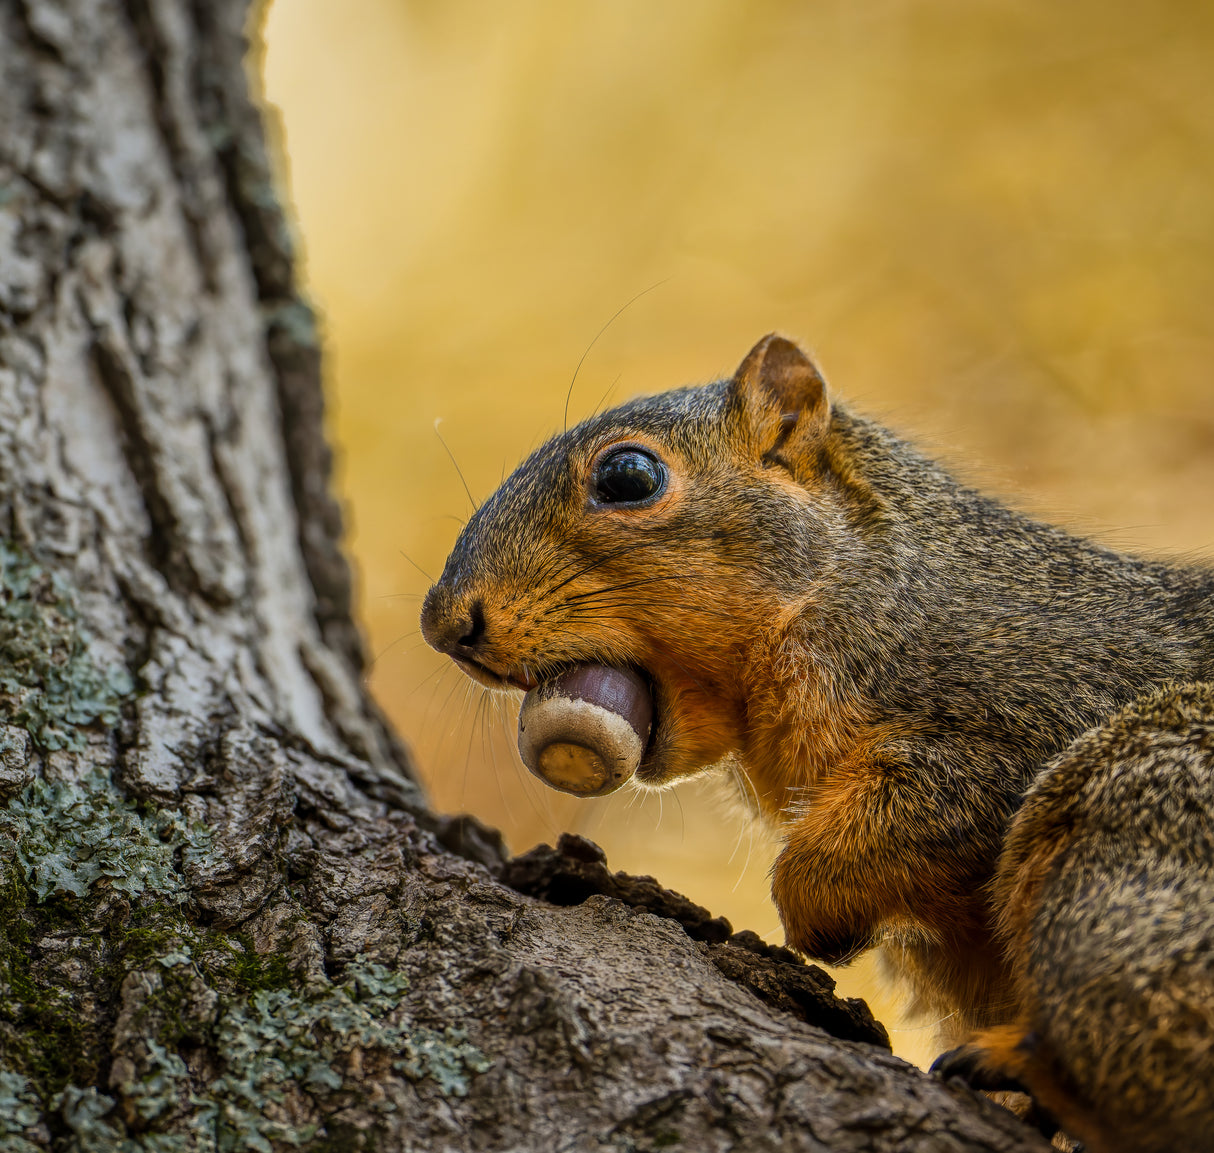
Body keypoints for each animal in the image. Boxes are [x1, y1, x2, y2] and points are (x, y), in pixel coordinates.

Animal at [420, 333, 1214, 1151]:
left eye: (629, 476)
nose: (444, 621)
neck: (854, 587)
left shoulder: (1035, 703)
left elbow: (931, 806)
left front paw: (815, 913)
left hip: (1132, 811)